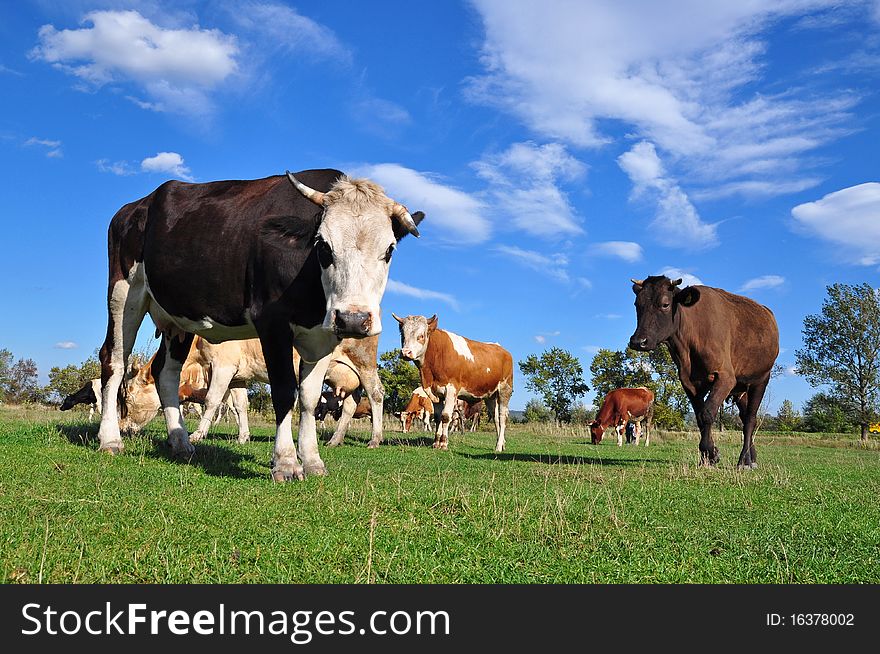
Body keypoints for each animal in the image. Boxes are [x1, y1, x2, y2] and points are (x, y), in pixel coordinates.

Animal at [96, 170, 422, 486]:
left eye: (389, 250)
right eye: (324, 247)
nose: (353, 319)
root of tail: (136, 206)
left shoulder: (323, 337)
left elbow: (309, 397)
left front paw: (312, 461)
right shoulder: (272, 325)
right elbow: (284, 392)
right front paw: (286, 463)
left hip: (177, 318)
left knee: (166, 372)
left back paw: (180, 441)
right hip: (124, 293)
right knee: (114, 360)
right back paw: (110, 439)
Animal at [394, 316, 512, 454]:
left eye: (421, 336)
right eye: (403, 334)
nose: (406, 352)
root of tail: (503, 350)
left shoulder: (451, 390)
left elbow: (445, 417)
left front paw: (443, 443)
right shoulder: (436, 393)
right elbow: (438, 418)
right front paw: (436, 443)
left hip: (505, 390)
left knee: (502, 418)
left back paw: (498, 447)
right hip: (490, 396)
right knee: (496, 418)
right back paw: (501, 444)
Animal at [628, 274, 780, 468]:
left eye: (665, 304)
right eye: (637, 304)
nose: (638, 341)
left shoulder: (725, 377)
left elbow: (707, 414)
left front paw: (710, 453)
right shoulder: (688, 382)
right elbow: (700, 417)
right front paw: (708, 456)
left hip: (761, 379)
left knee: (751, 419)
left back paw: (743, 461)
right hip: (741, 389)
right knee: (745, 416)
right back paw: (751, 458)